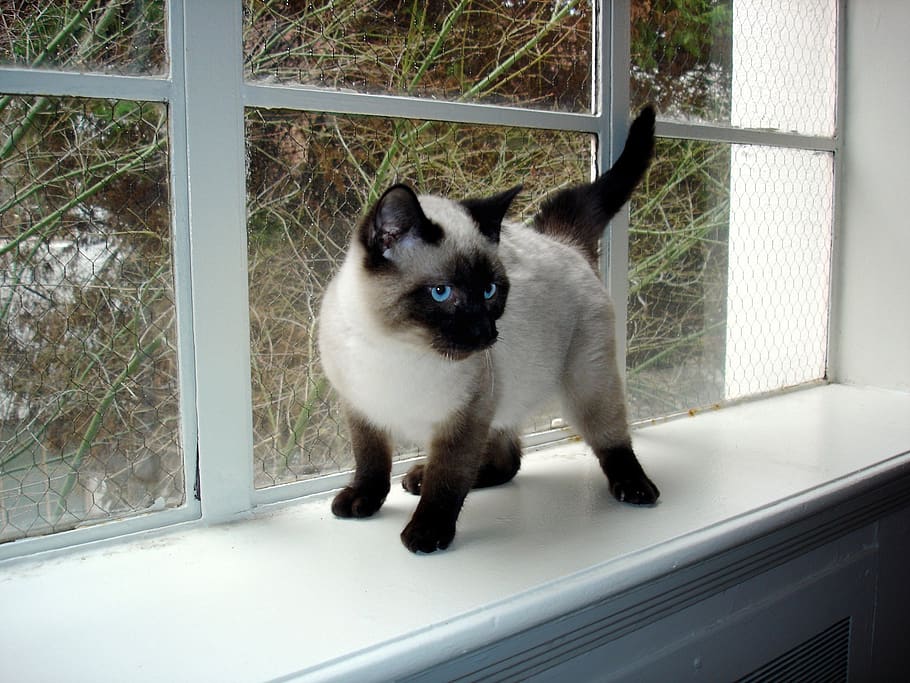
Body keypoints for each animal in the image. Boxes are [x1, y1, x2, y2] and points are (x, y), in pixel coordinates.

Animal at [318, 108, 660, 556]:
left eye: (490, 291)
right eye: (442, 293)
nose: (485, 332)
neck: (398, 347)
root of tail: (561, 242)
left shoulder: (463, 420)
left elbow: (448, 482)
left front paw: (426, 533)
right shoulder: (363, 409)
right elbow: (372, 463)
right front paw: (363, 501)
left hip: (585, 382)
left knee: (609, 439)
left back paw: (636, 488)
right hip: (506, 395)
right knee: (508, 461)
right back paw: (418, 477)